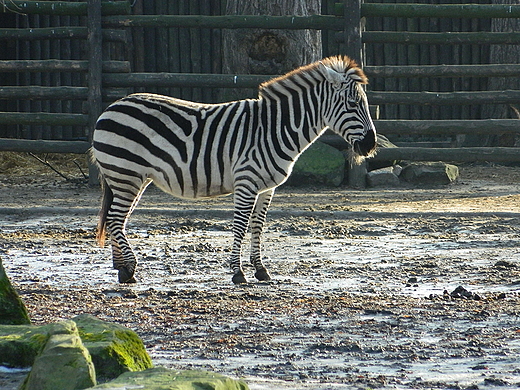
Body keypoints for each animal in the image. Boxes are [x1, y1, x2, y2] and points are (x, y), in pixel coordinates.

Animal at [93, 54, 376, 284]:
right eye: (352, 104)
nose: (371, 145)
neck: (275, 128)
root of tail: (111, 107)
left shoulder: (266, 187)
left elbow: (258, 225)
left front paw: (261, 270)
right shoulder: (246, 181)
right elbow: (240, 225)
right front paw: (238, 273)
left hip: (133, 178)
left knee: (117, 219)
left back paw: (122, 270)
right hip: (126, 174)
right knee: (115, 219)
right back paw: (130, 269)